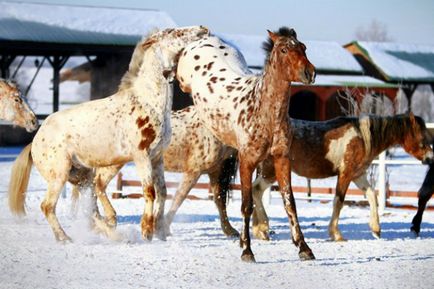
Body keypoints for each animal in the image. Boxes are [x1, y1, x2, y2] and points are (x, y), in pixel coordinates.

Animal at [7, 27, 209, 242]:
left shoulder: (157, 158)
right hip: (59, 175)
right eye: (173, 32)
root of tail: (35, 142)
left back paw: (114, 232)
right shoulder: (141, 156)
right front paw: (146, 230)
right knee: (48, 206)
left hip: (82, 176)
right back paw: (65, 238)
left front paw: (160, 231)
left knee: (92, 206)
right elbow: (150, 191)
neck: (148, 103)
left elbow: (162, 192)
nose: (203, 28)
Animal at [175, 27, 316, 260]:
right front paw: (247, 250)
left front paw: (304, 248)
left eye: (304, 47)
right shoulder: (247, 162)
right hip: (182, 80)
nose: (309, 73)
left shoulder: (281, 159)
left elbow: (290, 203)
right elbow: (246, 204)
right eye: (284, 49)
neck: (263, 111)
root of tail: (206, 38)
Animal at [251, 112, 434, 241]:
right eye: (422, 137)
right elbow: (339, 202)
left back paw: (260, 230)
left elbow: (372, 196)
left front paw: (376, 229)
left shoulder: (358, 175)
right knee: (256, 190)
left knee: (255, 191)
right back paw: (263, 228)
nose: (430, 158)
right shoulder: (345, 174)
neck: (362, 137)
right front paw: (336, 234)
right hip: (271, 172)